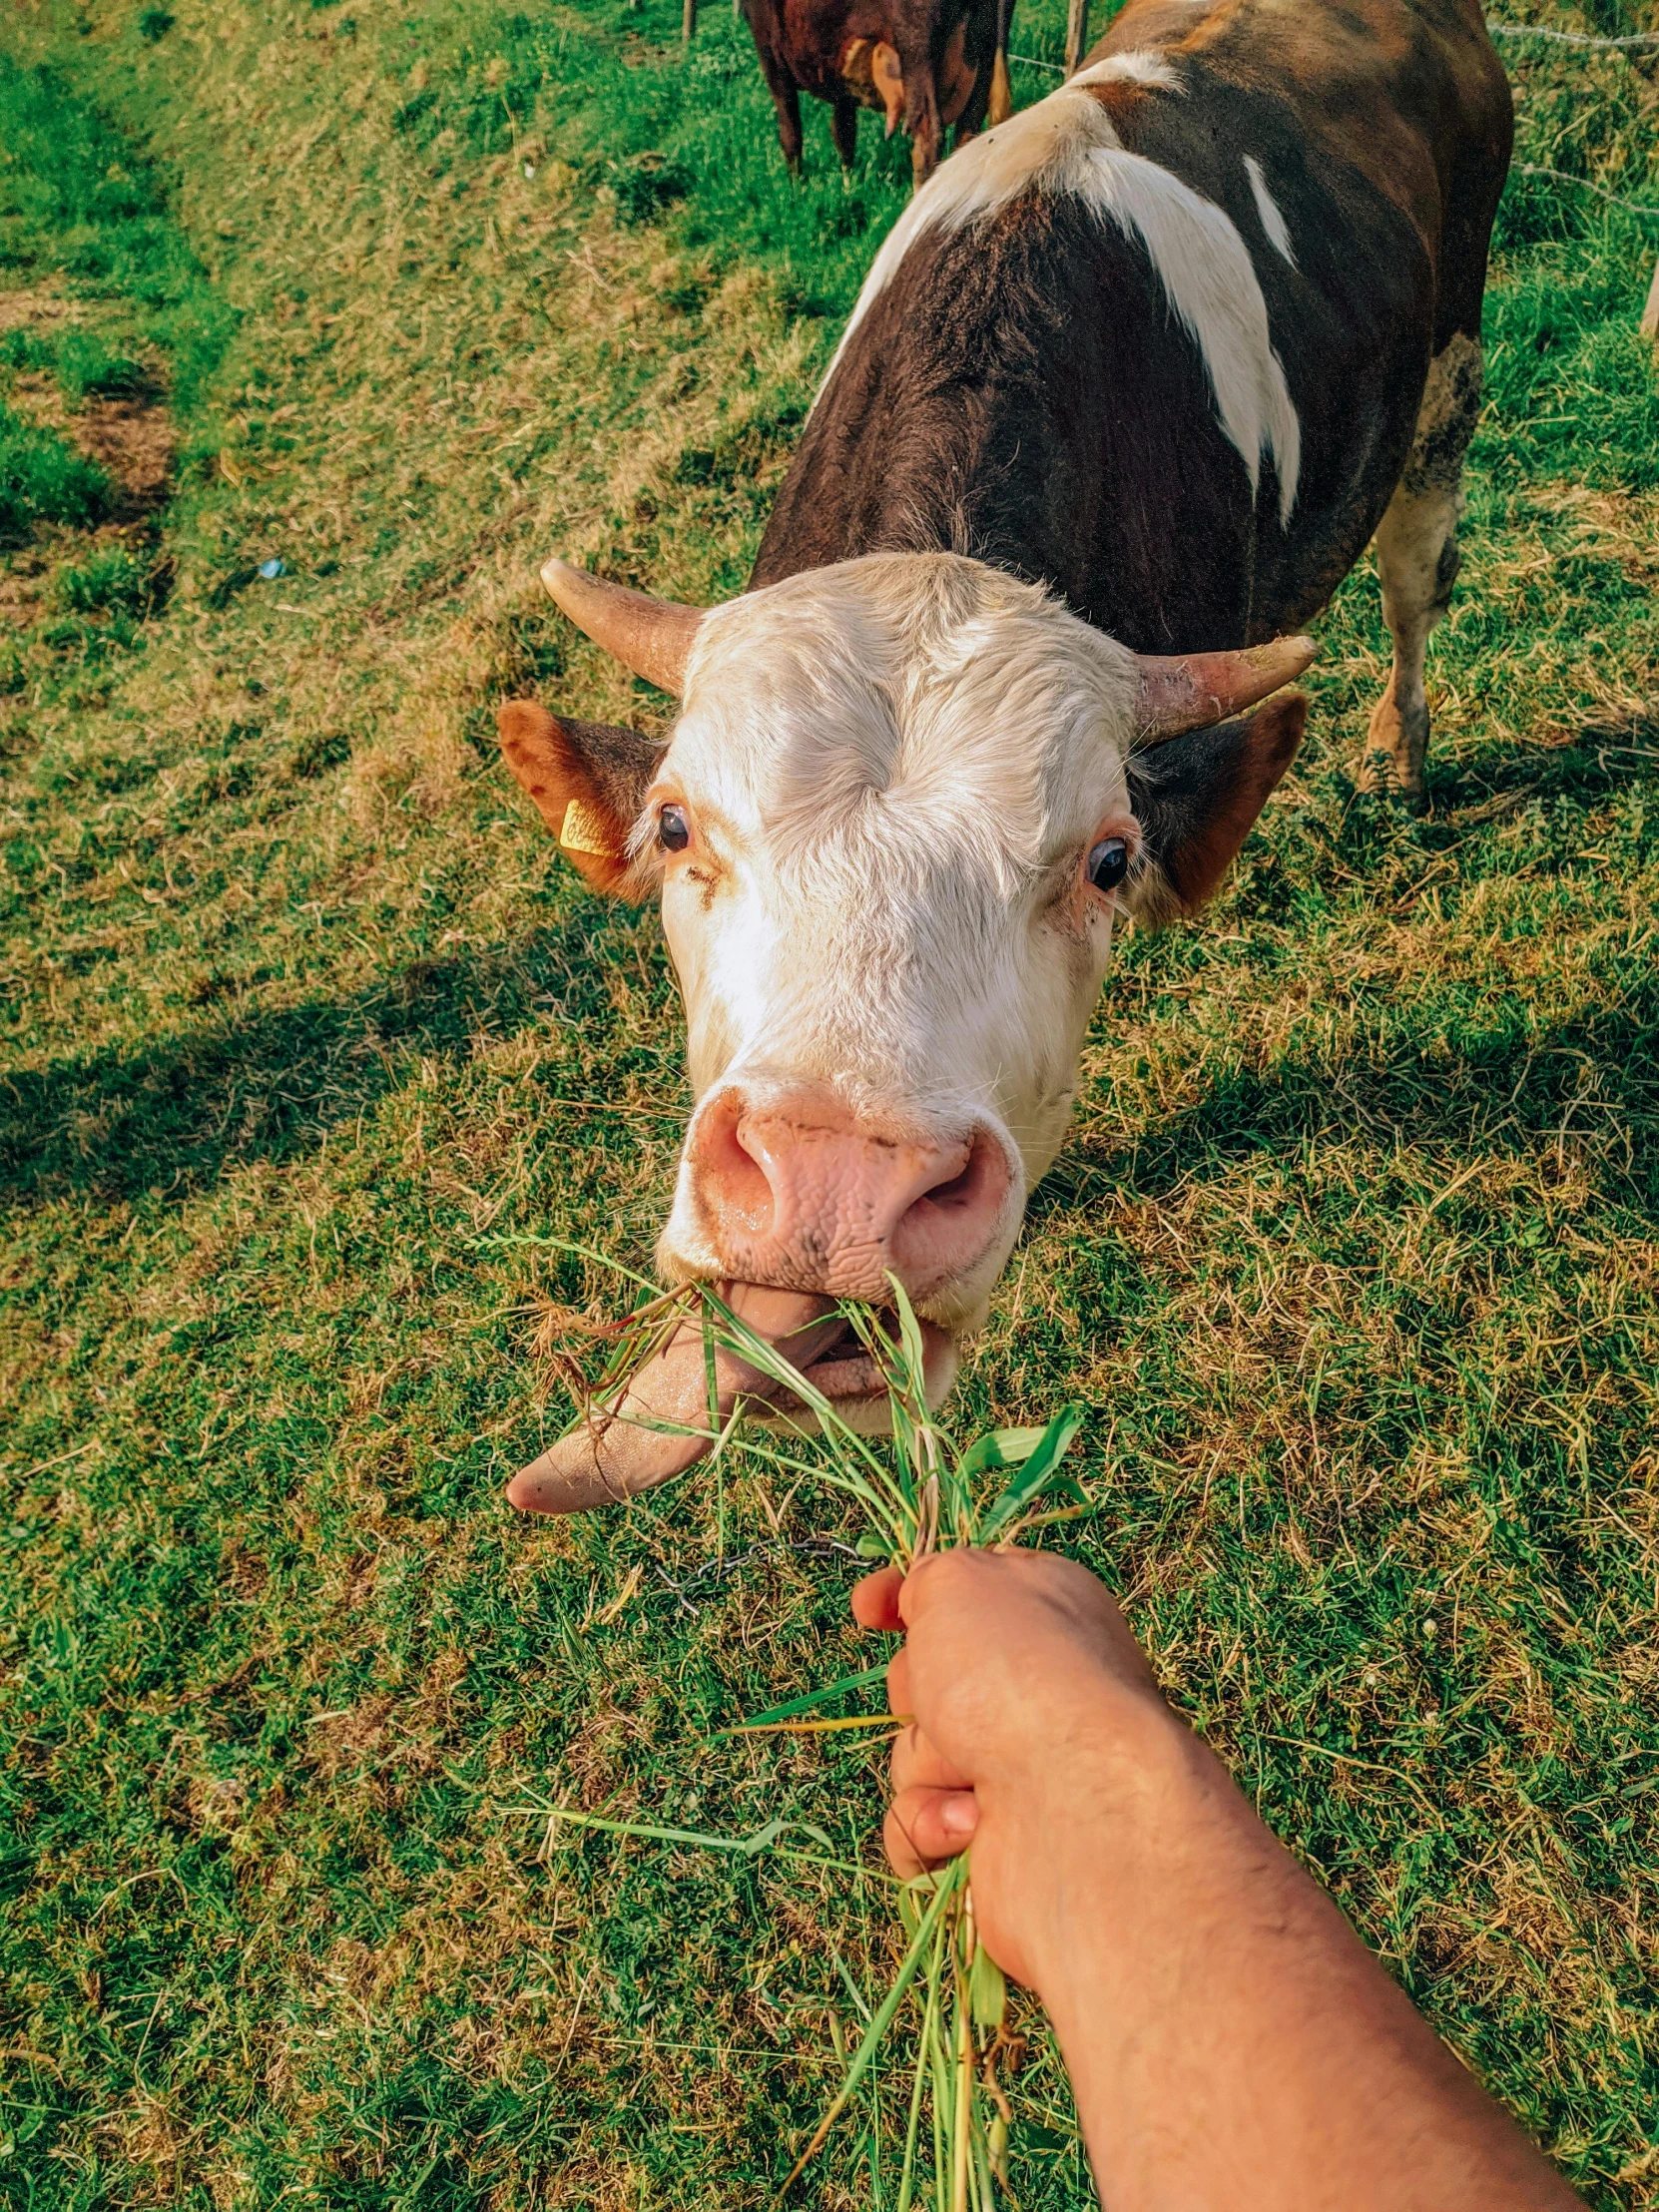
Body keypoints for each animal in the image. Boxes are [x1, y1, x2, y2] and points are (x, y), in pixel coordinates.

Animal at [499, 0, 1512, 1503]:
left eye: (1107, 861)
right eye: (676, 827)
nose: (837, 1198)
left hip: (1446, 387)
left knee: (1410, 578)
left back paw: (1398, 748)